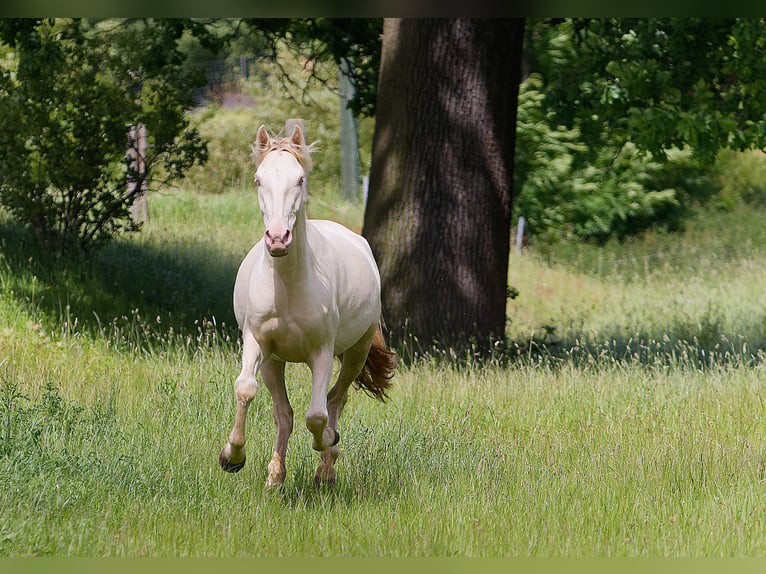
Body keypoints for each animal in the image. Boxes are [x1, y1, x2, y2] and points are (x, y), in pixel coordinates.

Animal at [218, 124, 392, 488]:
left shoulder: (322, 352)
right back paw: (275, 477)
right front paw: (232, 457)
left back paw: (326, 470)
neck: (287, 288)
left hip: (356, 352)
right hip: (274, 361)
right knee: (284, 414)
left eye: (299, 179)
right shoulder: (256, 342)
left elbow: (317, 415)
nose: (278, 238)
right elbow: (246, 389)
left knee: (335, 400)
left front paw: (328, 441)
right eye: (258, 179)